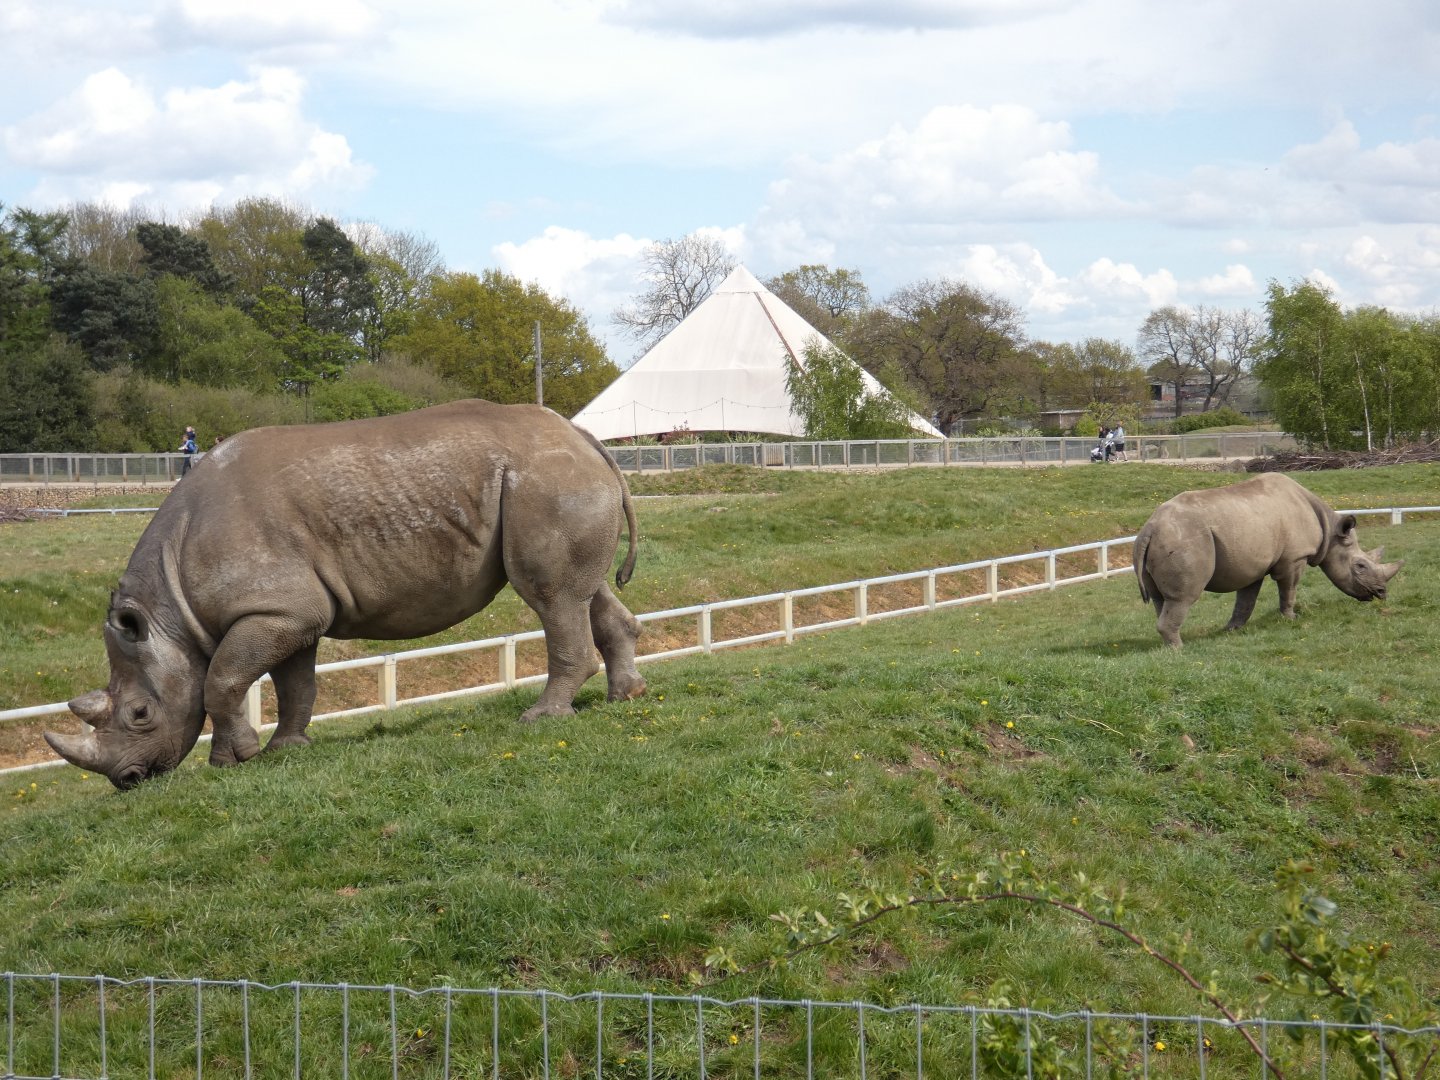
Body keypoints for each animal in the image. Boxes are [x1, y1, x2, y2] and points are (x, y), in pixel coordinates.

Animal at [46, 400, 647, 789]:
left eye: (140, 714)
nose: (128, 780)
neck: (170, 612)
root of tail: (583, 438)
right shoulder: (290, 613)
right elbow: (293, 684)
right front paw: (282, 751)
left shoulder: (276, 608)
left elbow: (221, 680)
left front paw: (236, 760)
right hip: (556, 481)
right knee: (583, 593)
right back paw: (624, 698)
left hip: (545, 481)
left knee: (551, 596)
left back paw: (542, 719)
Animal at [1132, 473, 1402, 647]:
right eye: (1360, 566)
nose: (1382, 593)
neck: (1331, 529)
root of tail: (1150, 527)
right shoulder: (1294, 558)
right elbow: (1289, 590)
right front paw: (1291, 619)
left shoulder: (1251, 565)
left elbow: (1246, 600)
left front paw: (1232, 630)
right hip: (1184, 540)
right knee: (1183, 598)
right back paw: (1180, 650)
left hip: (1166, 539)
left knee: (1161, 598)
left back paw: (1168, 647)